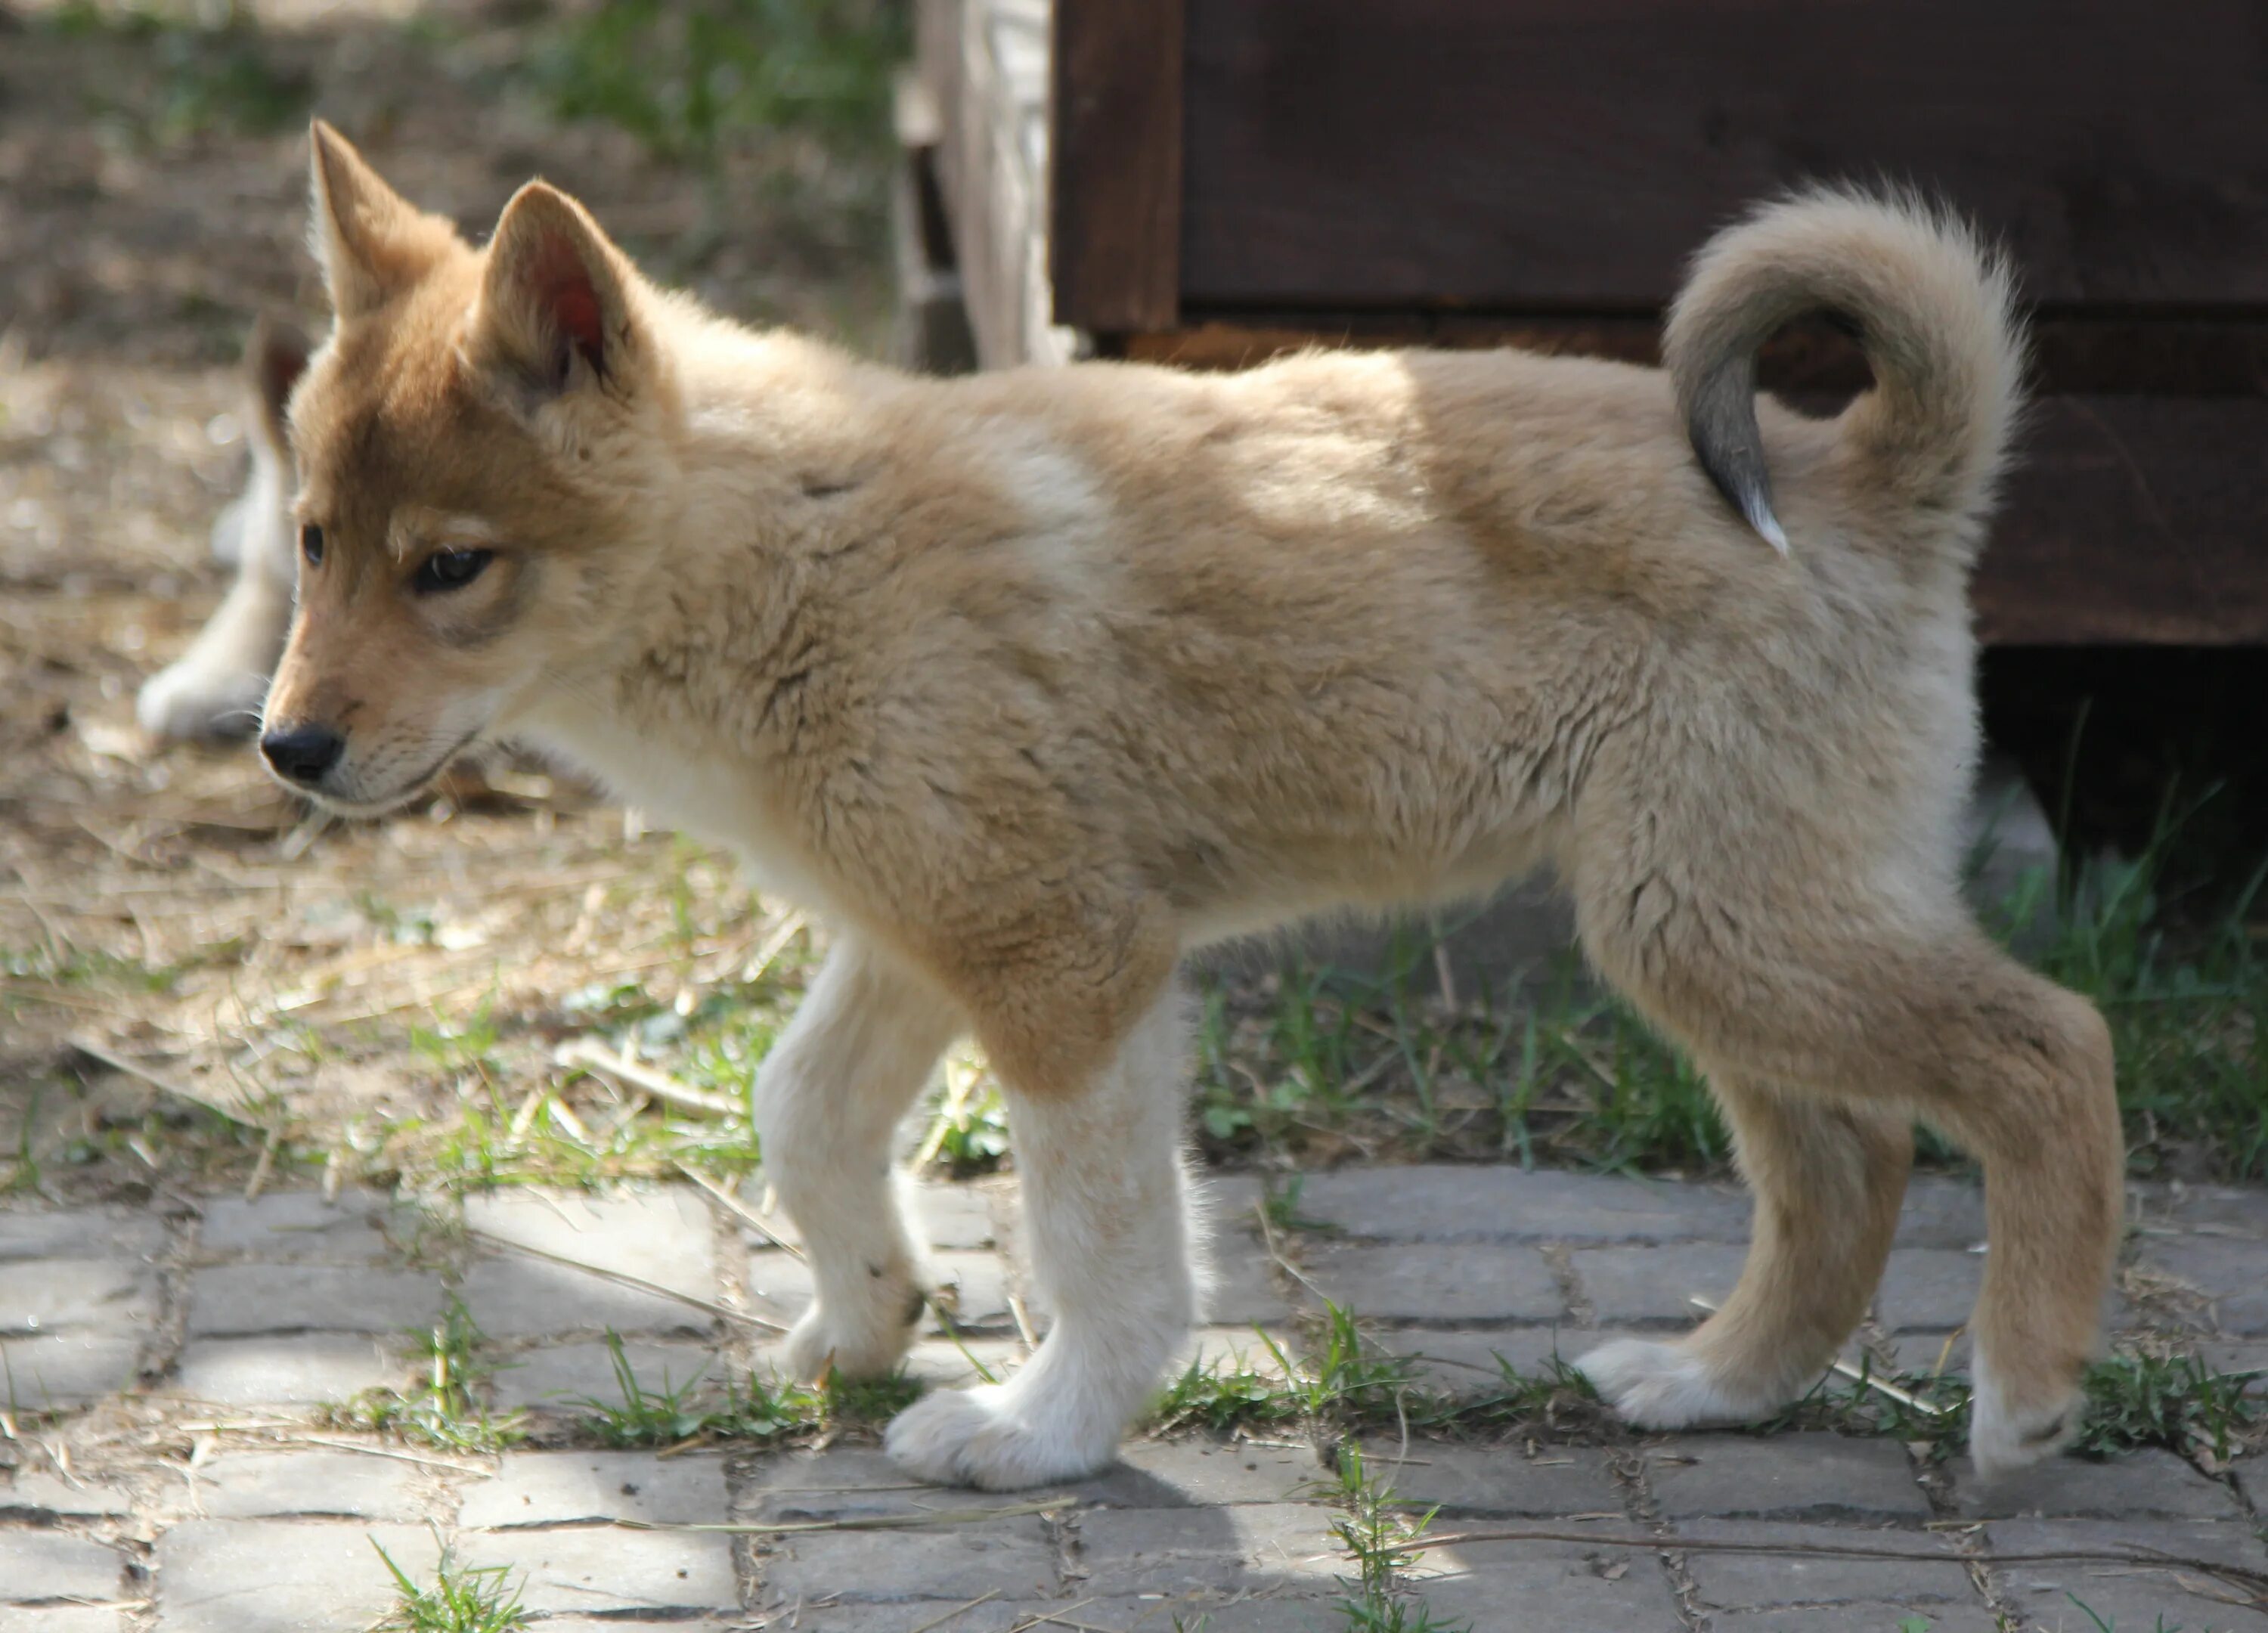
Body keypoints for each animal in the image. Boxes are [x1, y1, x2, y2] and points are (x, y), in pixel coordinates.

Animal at [265, 121, 2123, 1488]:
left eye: (450, 569)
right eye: (310, 542)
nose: (284, 752)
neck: (785, 548)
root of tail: (1859, 474)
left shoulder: (1067, 966)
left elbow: (1103, 1241)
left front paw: (1045, 1430)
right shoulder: (918, 935)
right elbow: (803, 1115)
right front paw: (864, 1322)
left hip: (1721, 927)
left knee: (2048, 1050)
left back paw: (2025, 1393)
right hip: (1716, 933)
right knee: (1852, 1166)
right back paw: (1716, 1386)